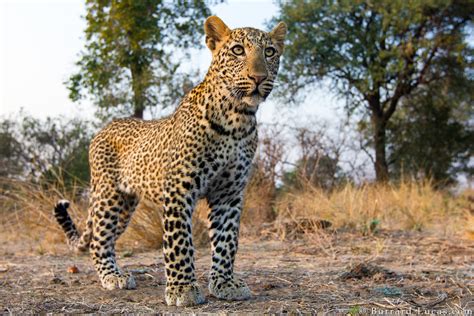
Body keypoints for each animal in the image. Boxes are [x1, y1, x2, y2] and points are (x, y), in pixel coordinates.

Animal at [53, 15, 286, 306]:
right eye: (238, 50)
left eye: (270, 52)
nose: (258, 77)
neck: (238, 117)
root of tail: (103, 129)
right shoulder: (179, 188)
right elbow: (179, 242)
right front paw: (183, 289)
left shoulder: (229, 193)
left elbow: (227, 240)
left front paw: (224, 283)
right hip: (107, 195)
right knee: (98, 240)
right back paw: (112, 277)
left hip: (125, 205)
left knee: (102, 235)